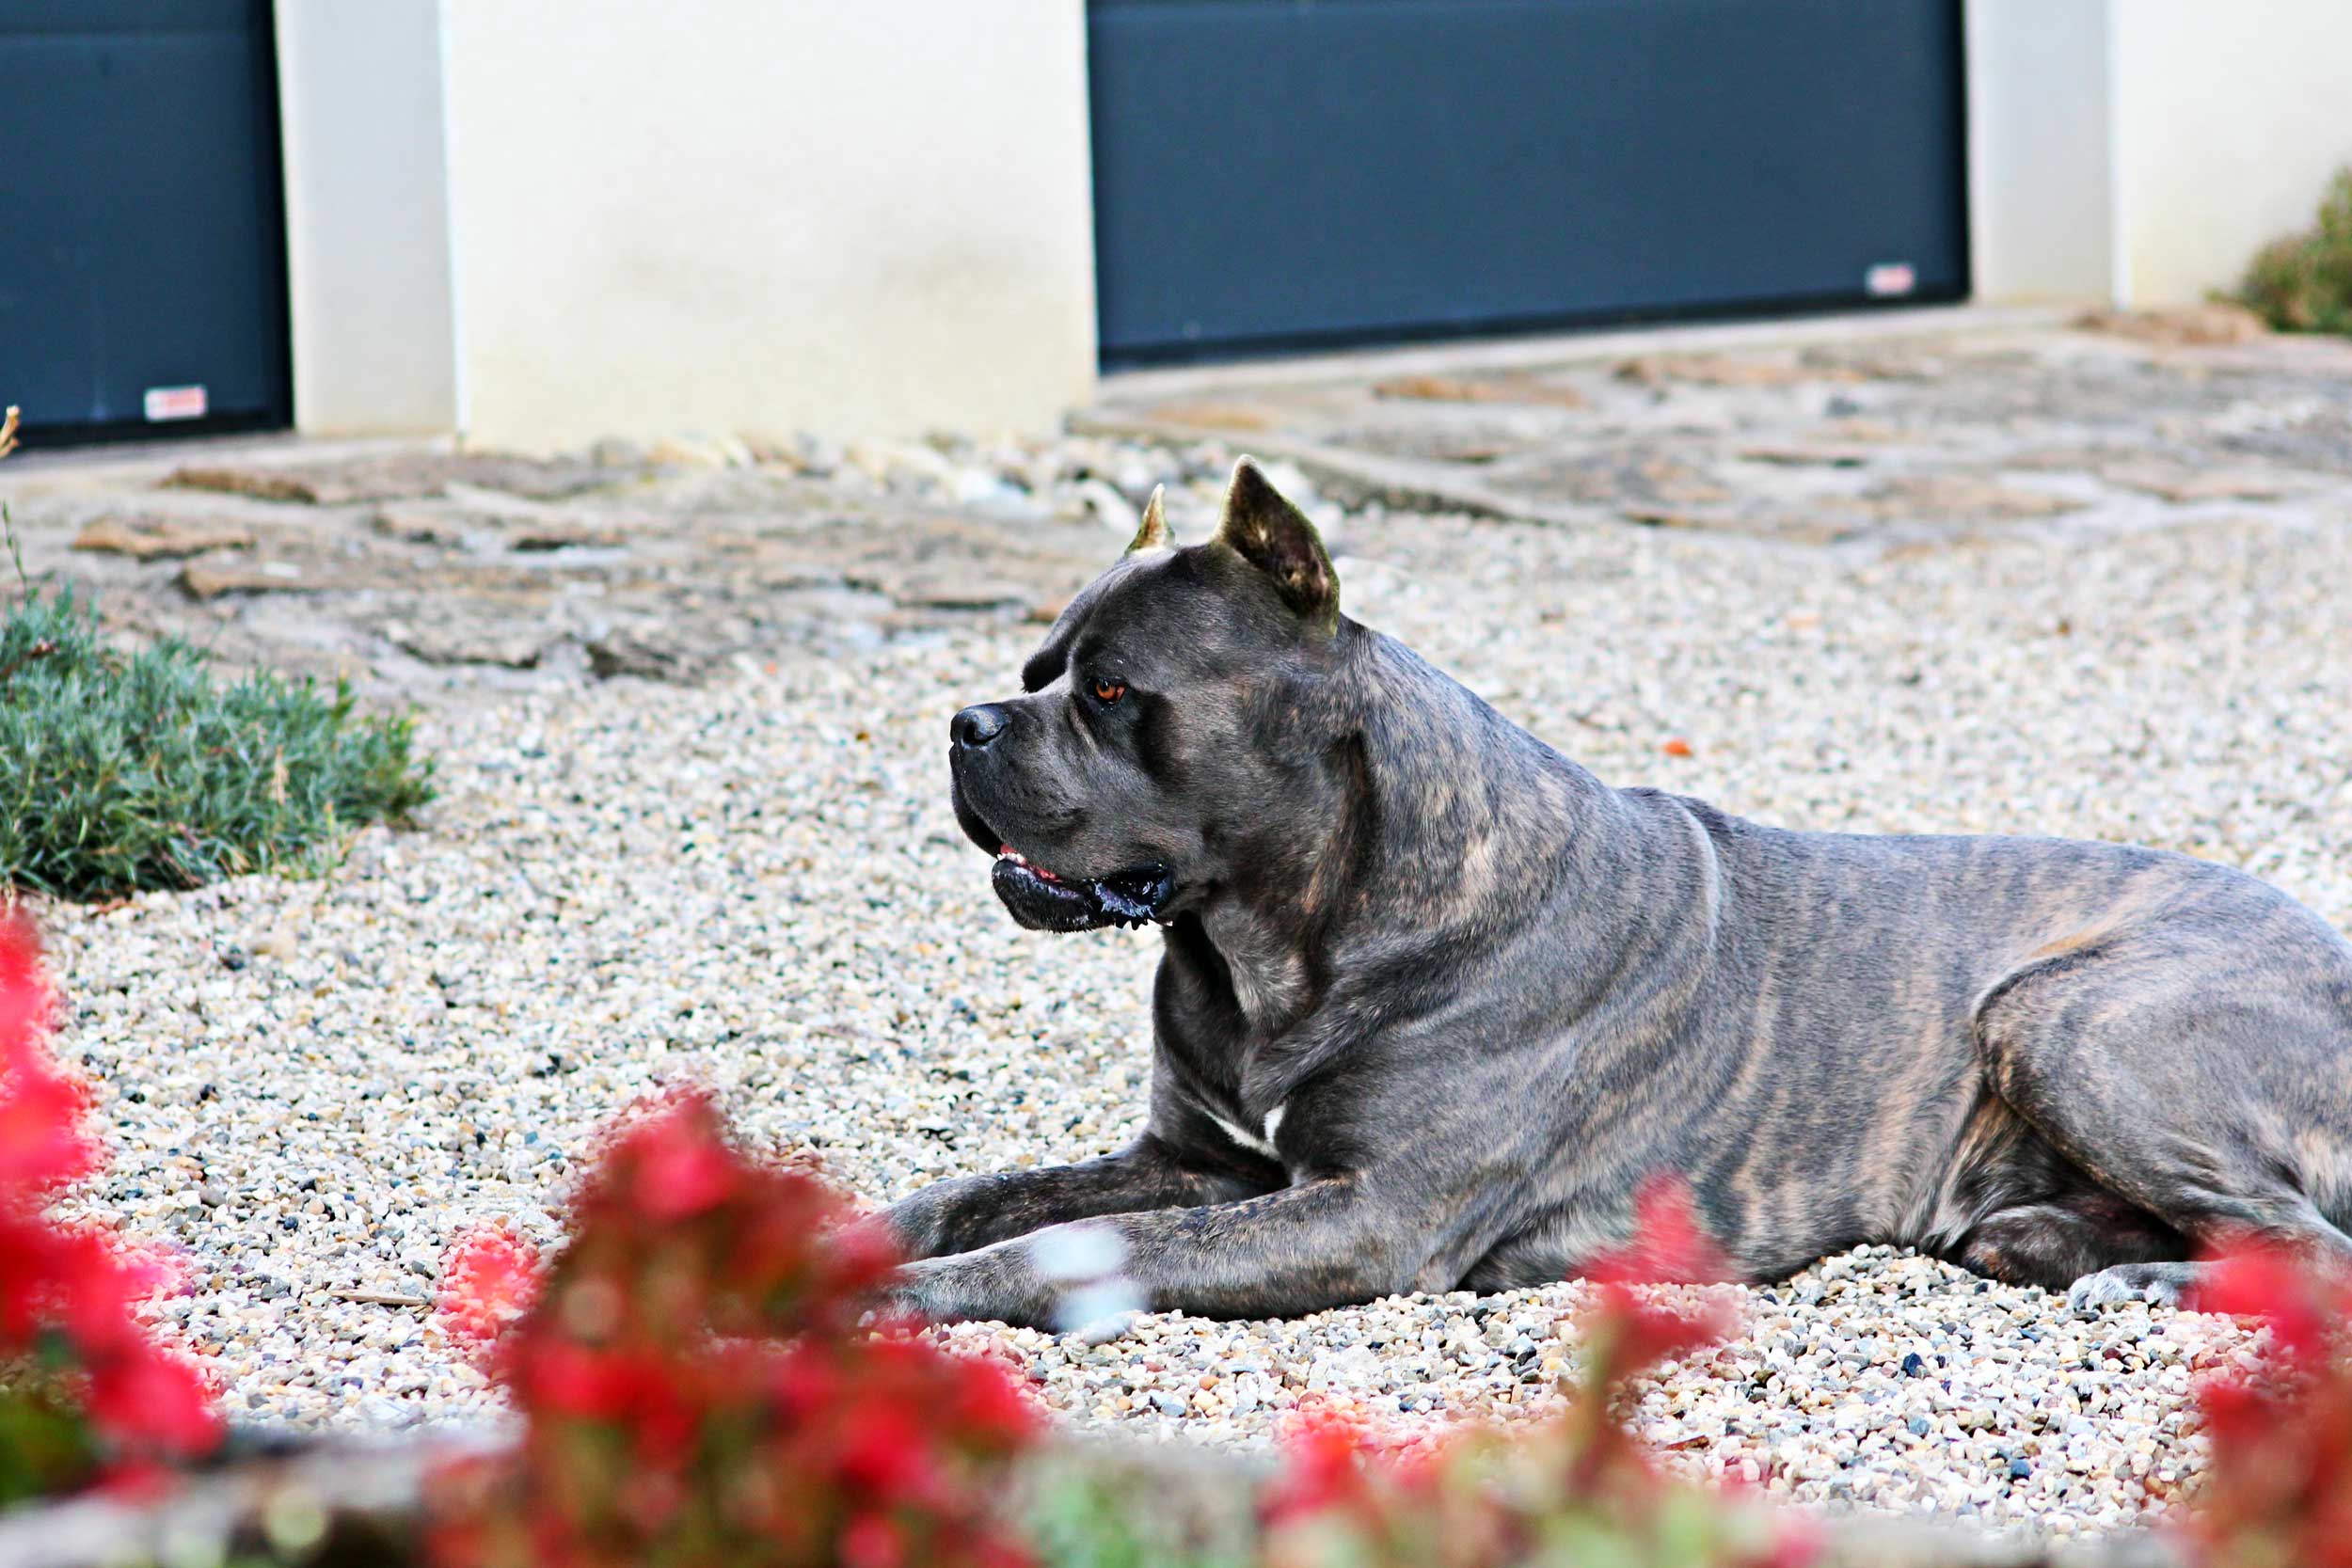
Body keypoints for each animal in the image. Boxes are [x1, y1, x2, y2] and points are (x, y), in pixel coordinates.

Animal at [880, 460, 2352, 1335]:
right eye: (1037, 664)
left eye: (1112, 689)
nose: (965, 721)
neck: (1284, 941)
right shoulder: (1196, 1156)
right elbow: (980, 1189)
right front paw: (859, 1236)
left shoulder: (1368, 1209)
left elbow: (1077, 1239)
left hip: (2063, 1018)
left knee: (2309, 1244)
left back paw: (2143, 1277)